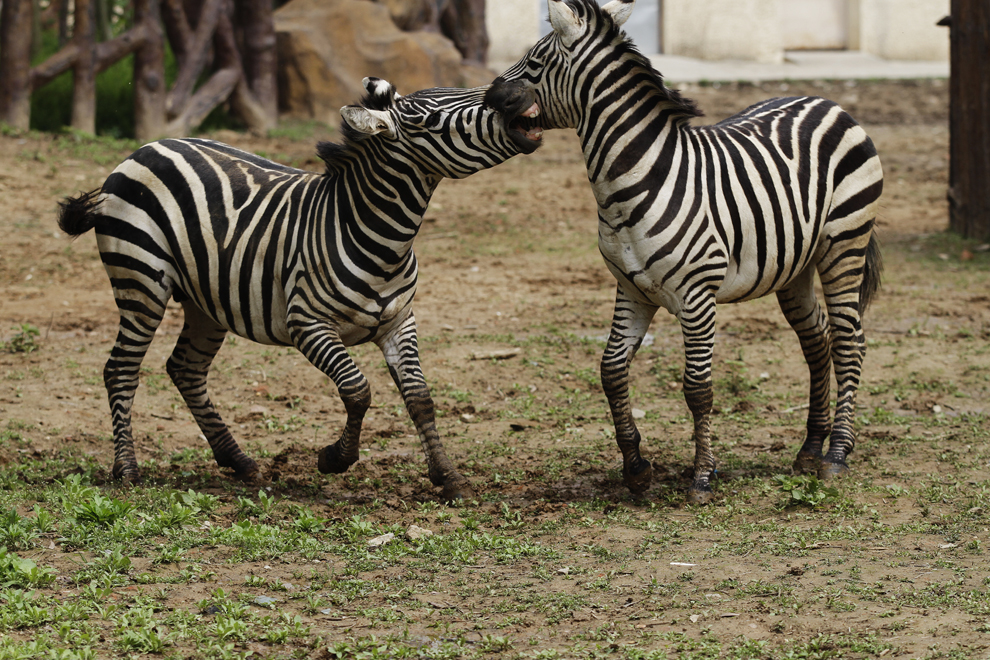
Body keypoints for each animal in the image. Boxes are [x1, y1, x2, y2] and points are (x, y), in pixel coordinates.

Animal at [58, 76, 548, 500]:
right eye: (428, 121)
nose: (515, 92)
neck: (377, 235)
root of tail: (147, 147)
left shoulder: (398, 323)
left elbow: (420, 399)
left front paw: (447, 477)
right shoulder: (307, 325)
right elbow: (357, 390)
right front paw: (334, 459)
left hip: (206, 299)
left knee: (185, 369)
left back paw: (238, 461)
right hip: (141, 281)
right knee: (121, 369)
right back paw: (127, 470)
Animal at [492, 1, 888, 506]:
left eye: (535, 62)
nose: (487, 95)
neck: (631, 183)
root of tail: (827, 102)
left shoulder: (697, 297)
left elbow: (698, 389)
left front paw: (702, 477)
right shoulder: (631, 290)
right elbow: (611, 371)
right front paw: (637, 469)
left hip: (844, 243)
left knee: (848, 341)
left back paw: (836, 454)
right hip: (793, 266)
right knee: (817, 341)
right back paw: (808, 450)